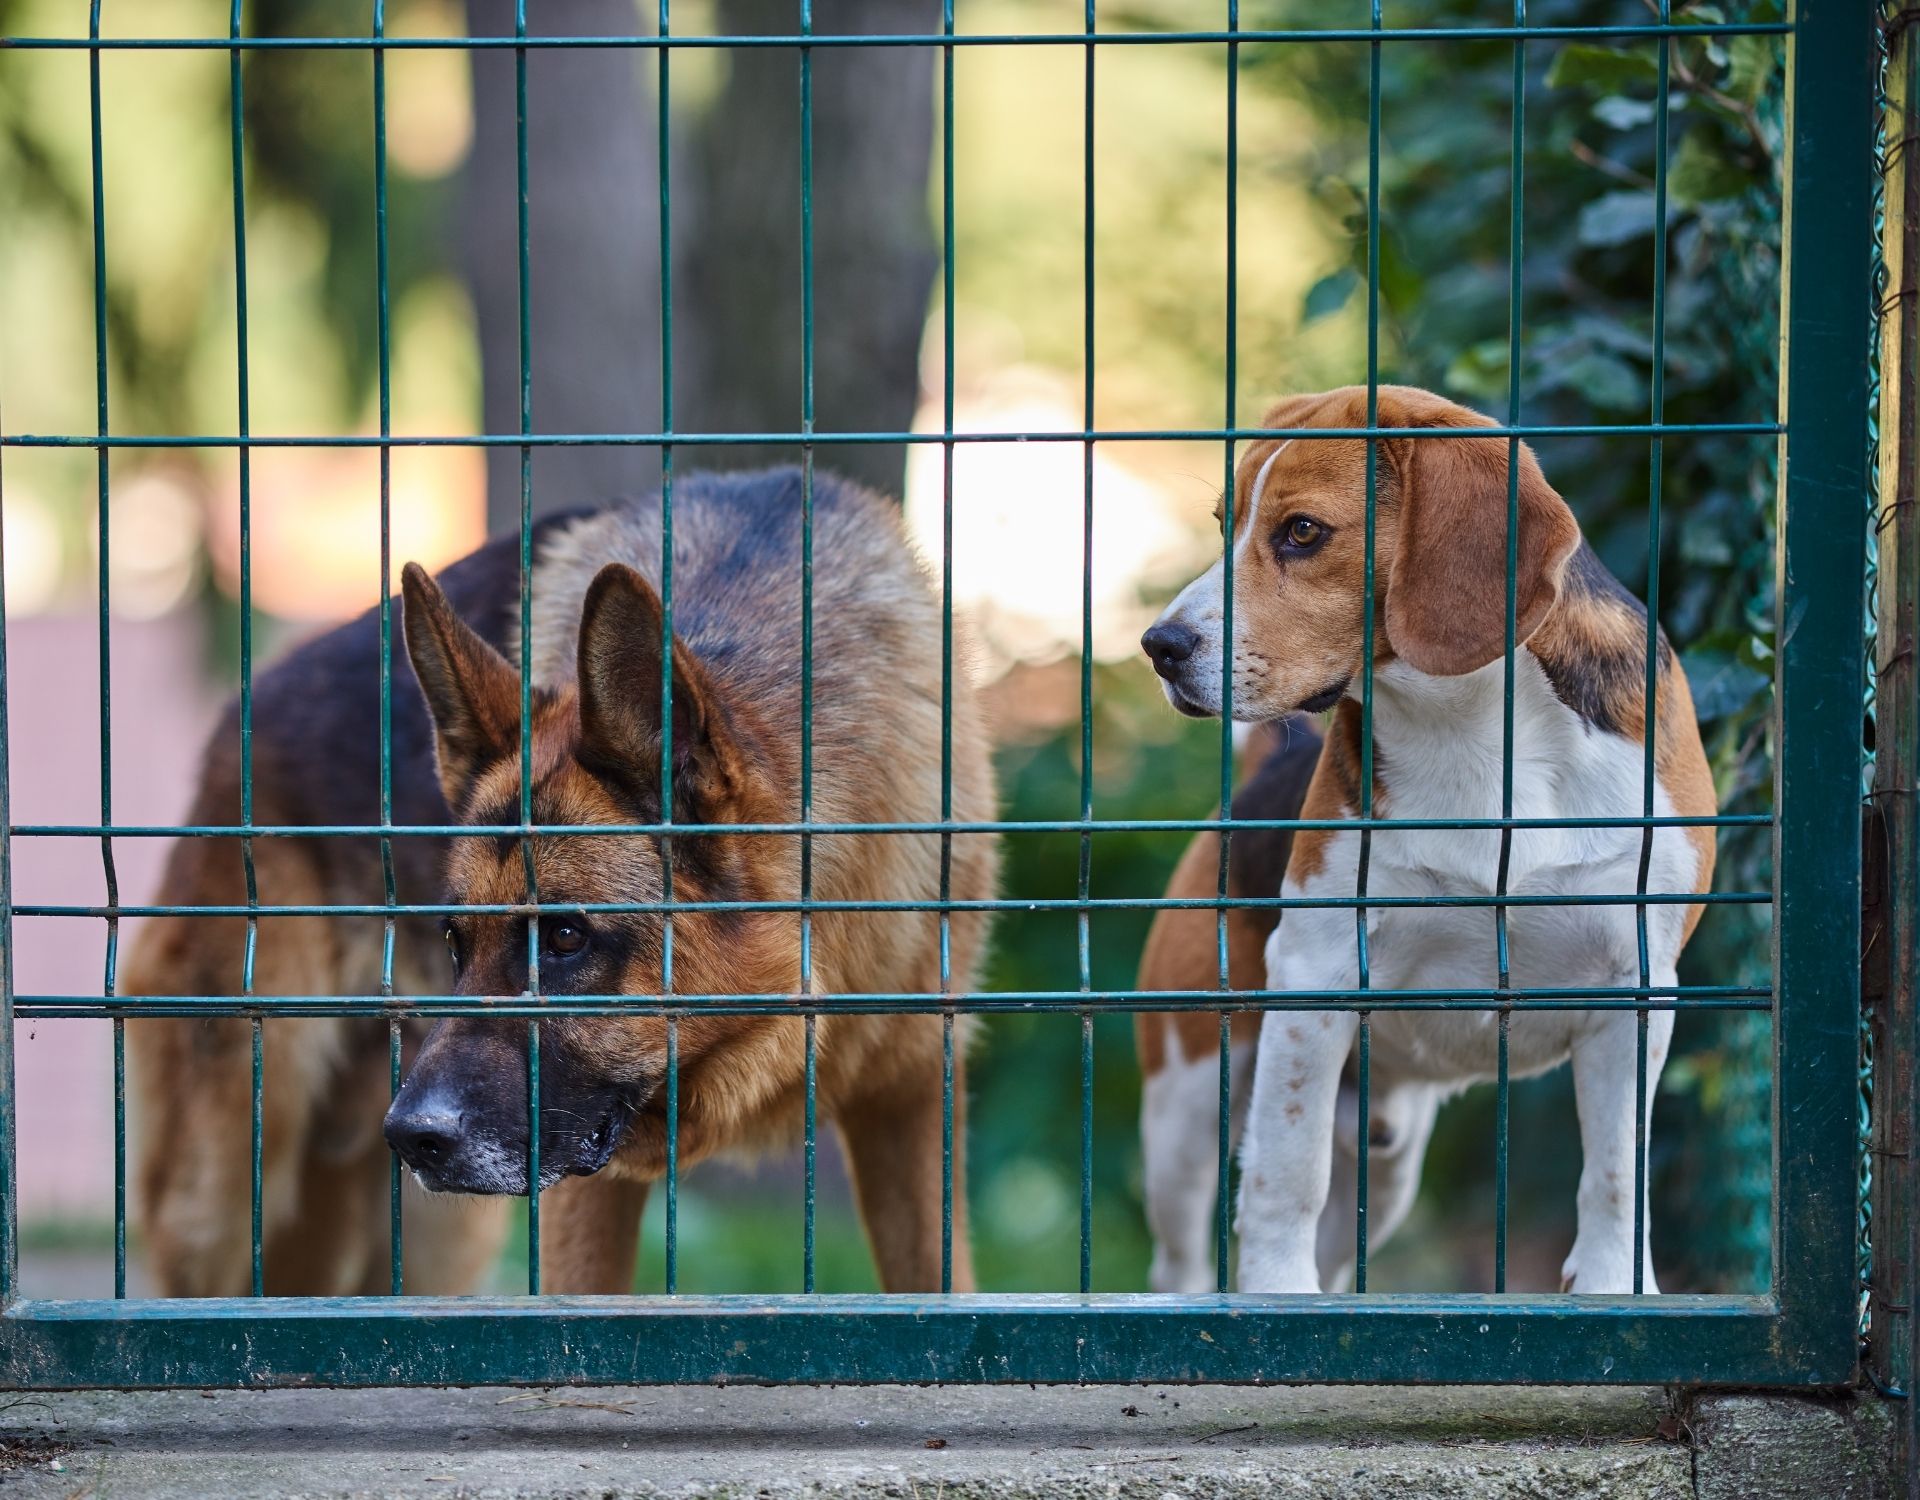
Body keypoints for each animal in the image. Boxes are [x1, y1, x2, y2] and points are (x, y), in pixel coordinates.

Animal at [127, 474, 998, 1290]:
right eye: (454, 939)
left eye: (568, 937)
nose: (411, 1137)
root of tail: (240, 724)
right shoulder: (586, 1181)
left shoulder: (910, 1100)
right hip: (225, 1189)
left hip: (438, 1232)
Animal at [1128, 384, 1720, 1290]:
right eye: (1227, 522)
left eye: (1302, 531)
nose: (1159, 647)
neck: (1471, 729)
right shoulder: (1316, 974)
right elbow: (1284, 1172)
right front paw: (1275, 1294)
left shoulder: (1637, 986)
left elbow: (1620, 1170)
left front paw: (1616, 1286)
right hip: (1187, 1099)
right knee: (1183, 1256)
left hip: (1386, 1162)